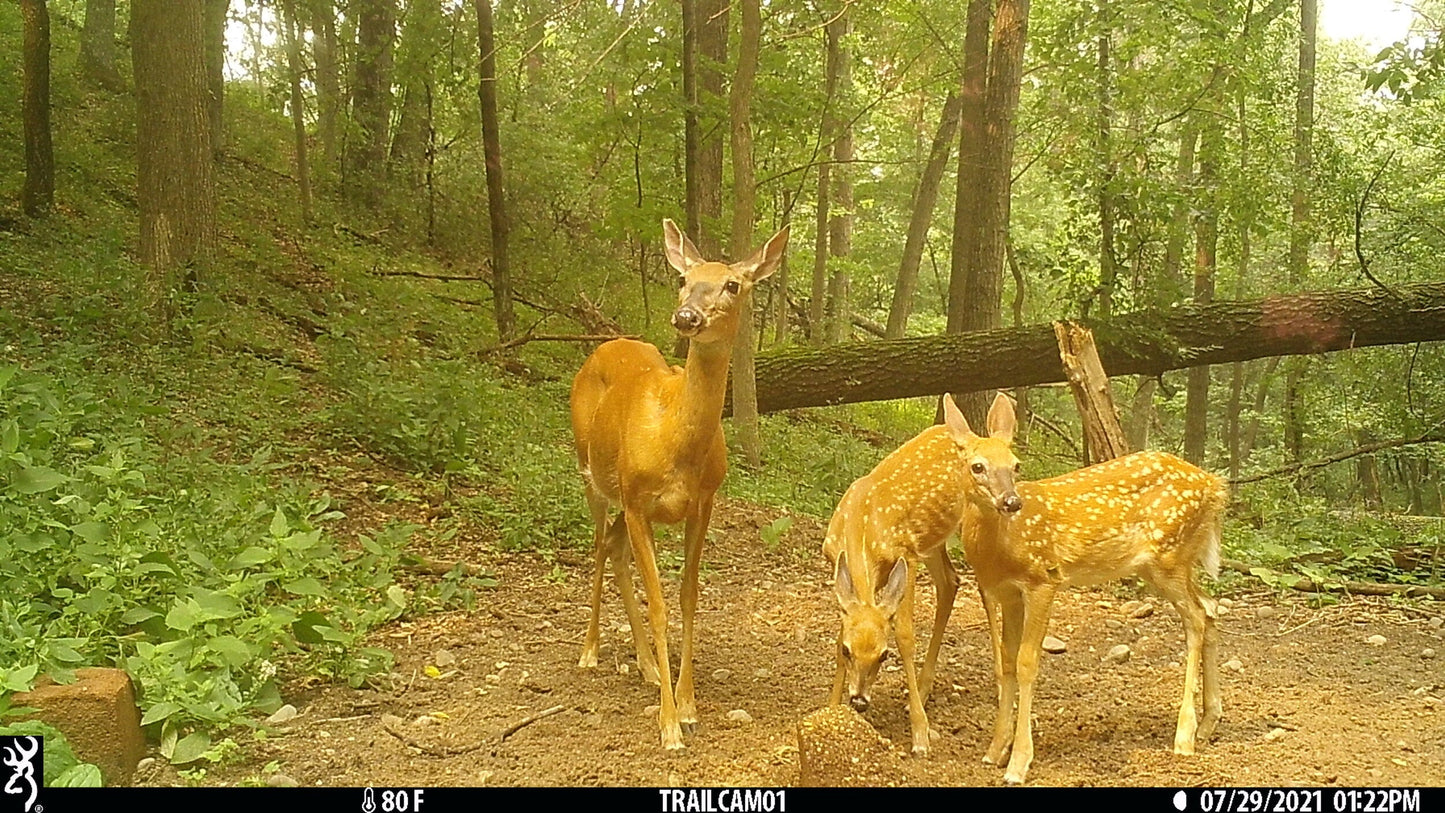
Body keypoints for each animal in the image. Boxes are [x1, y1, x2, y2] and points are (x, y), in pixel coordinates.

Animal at [570, 218, 788, 751]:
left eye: (733, 285)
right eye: (684, 279)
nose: (686, 316)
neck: (676, 441)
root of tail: (604, 345)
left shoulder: (702, 502)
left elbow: (688, 597)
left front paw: (688, 705)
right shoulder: (637, 499)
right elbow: (661, 606)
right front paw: (669, 726)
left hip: (623, 500)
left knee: (614, 550)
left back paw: (648, 666)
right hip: (594, 475)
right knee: (598, 547)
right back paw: (590, 650)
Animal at [823, 393, 982, 756]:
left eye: (884, 655)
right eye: (848, 652)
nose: (860, 700)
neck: (861, 526)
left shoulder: (905, 558)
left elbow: (906, 636)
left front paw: (920, 736)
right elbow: (839, 629)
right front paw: (831, 709)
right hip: (932, 542)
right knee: (951, 580)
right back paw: (922, 691)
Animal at [951, 392, 1228, 785]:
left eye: (1016, 465)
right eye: (977, 466)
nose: (1011, 502)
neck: (999, 549)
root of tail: (1216, 486)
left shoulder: (1044, 578)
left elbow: (1026, 662)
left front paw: (1018, 763)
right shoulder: (999, 591)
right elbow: (1004, 662)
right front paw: (994, 750)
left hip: (1169, 555)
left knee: (1196, 618)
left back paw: (1184, 735)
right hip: (1168, 563)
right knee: (1210, 606)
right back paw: (1208, 723)